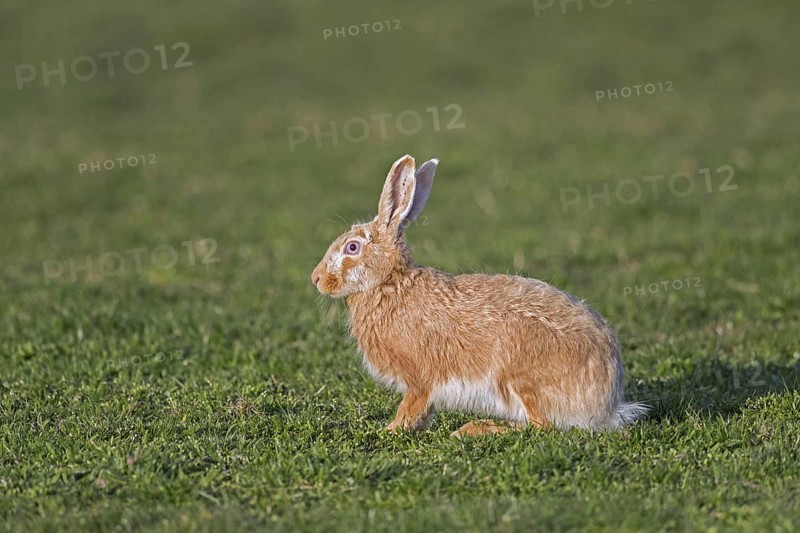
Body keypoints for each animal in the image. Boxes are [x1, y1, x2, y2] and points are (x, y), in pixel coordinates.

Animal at [311, 154, 648, 437]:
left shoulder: (419, 379)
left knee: (541, 426)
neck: (389, 283)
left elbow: (412, 406)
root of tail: (607, 405)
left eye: (352, 247)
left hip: (520, 379)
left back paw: (475, 429)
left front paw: (391, 430)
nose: (316, 279)